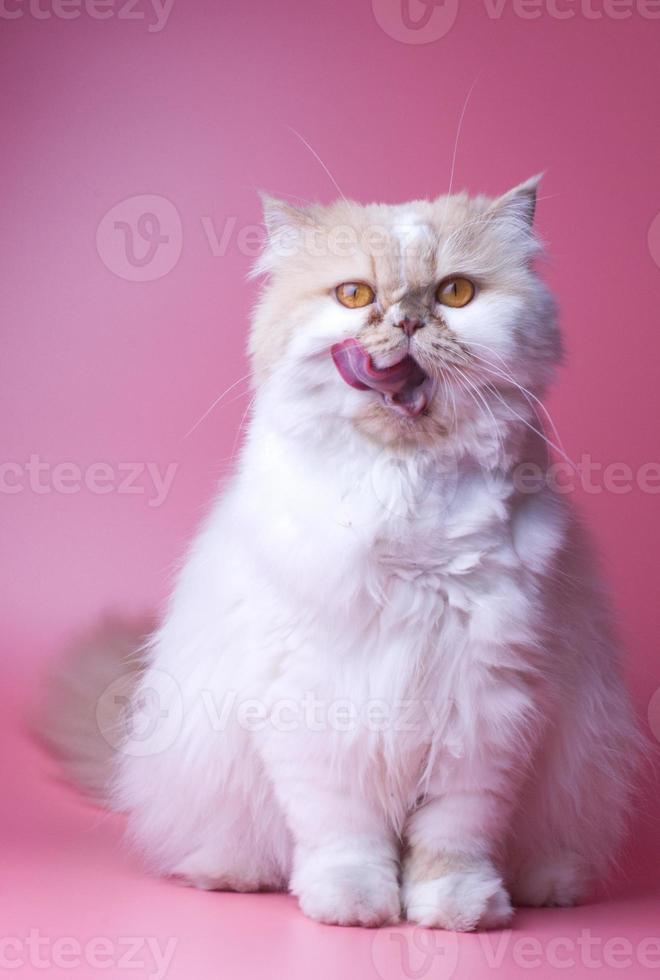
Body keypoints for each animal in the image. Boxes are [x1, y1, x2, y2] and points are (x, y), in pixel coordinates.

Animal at [42, 176, 640, 936]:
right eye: (355, 296)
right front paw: (355, 906)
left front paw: (457, 910)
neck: (406, 490)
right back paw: (230, 873)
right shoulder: (314, 699)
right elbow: (344, 834)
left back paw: (546, 886)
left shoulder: (487, 703)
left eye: (454, 293)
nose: (406, 322)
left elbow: (454, 839)